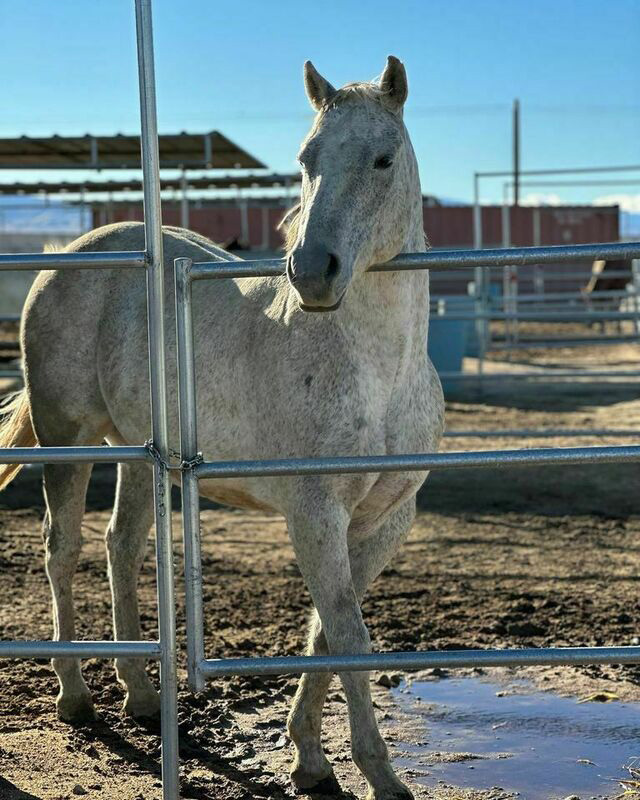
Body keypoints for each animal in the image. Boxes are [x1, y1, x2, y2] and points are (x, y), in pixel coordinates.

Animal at [2, 57, 444, 800]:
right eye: (305, 159)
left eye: (383, 158)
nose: (311, 271)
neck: (379, 371)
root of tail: (69, 256)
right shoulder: (315, 514)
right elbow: (348, 635)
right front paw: (377, 772)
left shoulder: (388, 519)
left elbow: (327, 630)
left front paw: (309, 758)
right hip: (70, 440)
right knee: (62, 550)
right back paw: (76, 698)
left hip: (135, 453)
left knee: (122, 546)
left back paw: (141, 694)